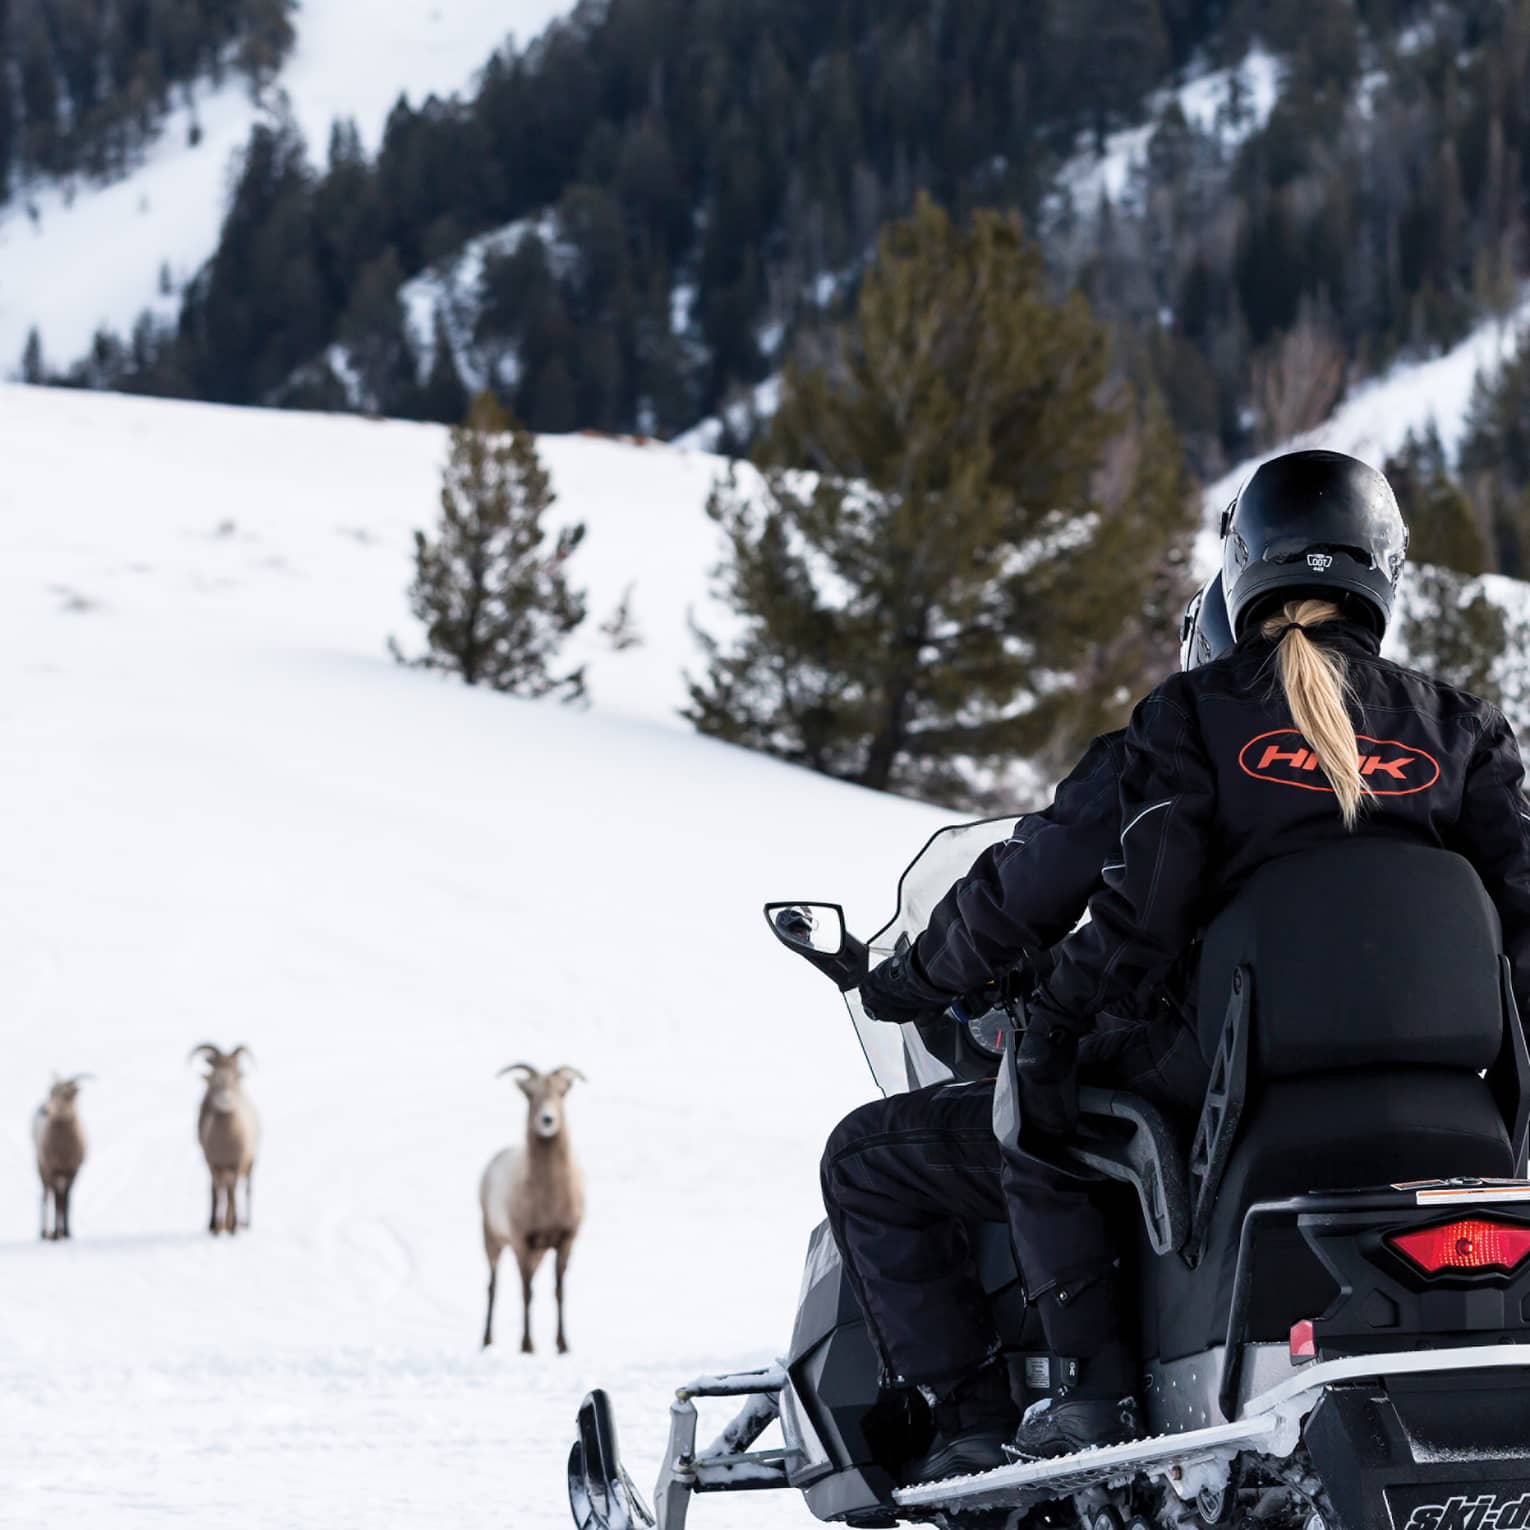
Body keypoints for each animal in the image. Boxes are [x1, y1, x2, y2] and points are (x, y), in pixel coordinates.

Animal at [34, 1075, 91, 1240]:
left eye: (66, 1095)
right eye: (51, 1092)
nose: (44, 1110)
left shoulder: (73, 1170)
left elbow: (66, 1198)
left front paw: (67, 1232)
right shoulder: (52, 1169)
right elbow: (57, 1198)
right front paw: (56, 1234)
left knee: (58, 1197)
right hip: (41, 1167)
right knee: (47, 1195)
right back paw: (46, 1233)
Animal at [189, 1044, 260, 1235]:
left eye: (235, 1079)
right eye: (214, 1080)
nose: (225, 1099)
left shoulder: (236, 1162)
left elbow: (232, 1190)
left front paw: (233, 1226)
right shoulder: (212, 1162)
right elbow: (215, 1190)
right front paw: (214, 1225)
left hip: (250, 1162)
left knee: (245, 1189)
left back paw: (243, 1223)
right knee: (222, 1189)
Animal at [479, 1063, 586, 1352]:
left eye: (561, 1092)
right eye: (530, 1094)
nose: (547, 1120)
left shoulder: (565, 1240)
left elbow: (558, 1291)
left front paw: (563, 1345)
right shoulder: (521, 1241)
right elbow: (526, 1292)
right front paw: (527, 1346)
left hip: (538, 1252)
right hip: (492, 1238)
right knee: (493, 1286)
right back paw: (486, 1341)